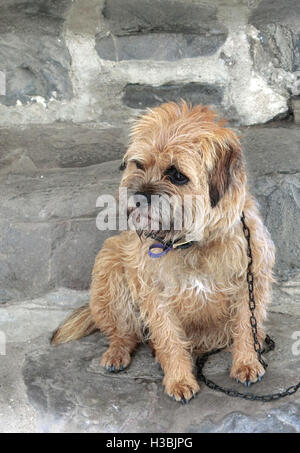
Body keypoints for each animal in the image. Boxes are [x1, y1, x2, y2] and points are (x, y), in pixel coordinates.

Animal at [51, 101, 274, 402]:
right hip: (110, 266)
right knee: (124, 333)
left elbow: (246, 326)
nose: (138, 198)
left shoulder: (250, 283)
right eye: (139, 164)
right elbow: (168, 338)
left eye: (177, 175)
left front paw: (247, 362)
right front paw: (179, 379)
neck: (191, 243)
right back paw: (118, 353)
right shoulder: (155, 296)